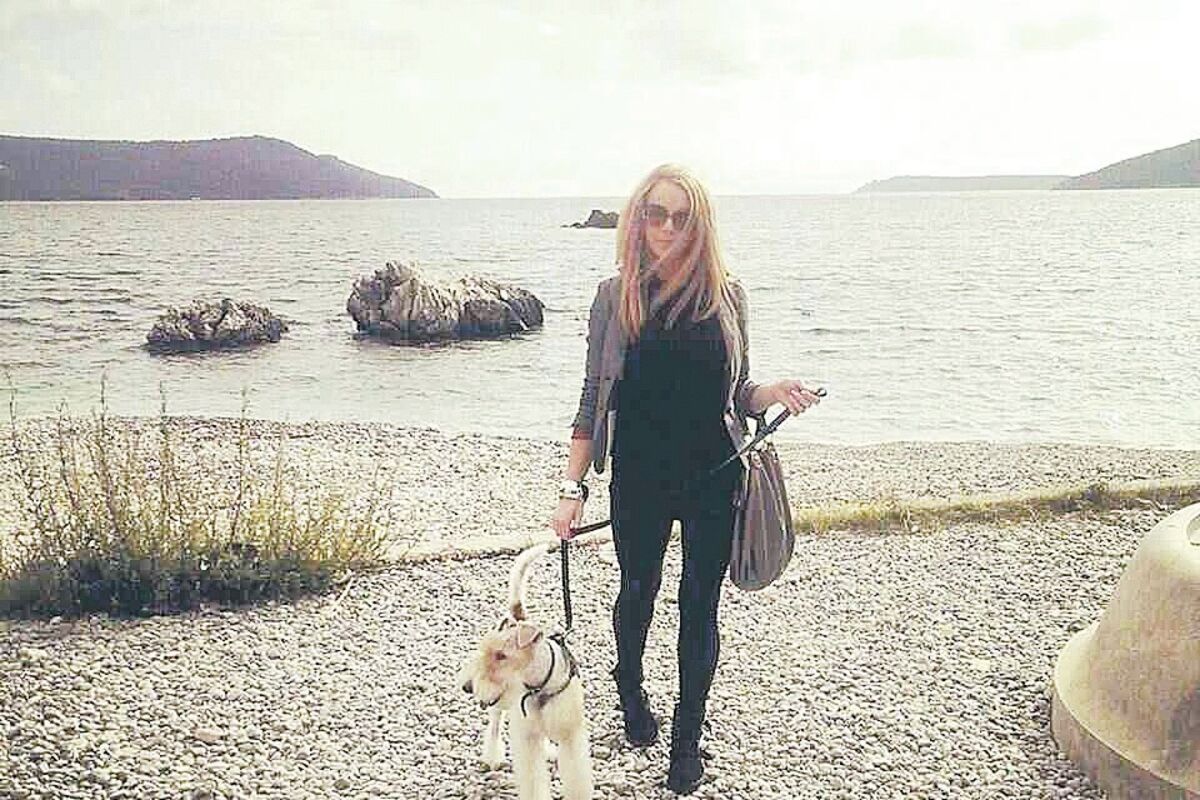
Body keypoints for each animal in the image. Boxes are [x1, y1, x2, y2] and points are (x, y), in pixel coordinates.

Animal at [458, 543, 593, 800]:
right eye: (484, 650)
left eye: (501, 655)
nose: (467, 686)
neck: (539, 687)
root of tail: (517, 616)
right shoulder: (527, 739)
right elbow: (533, 780)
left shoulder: (570, 736)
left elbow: (576, 779)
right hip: (499, 709)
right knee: (494, 727)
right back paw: (493, 758)